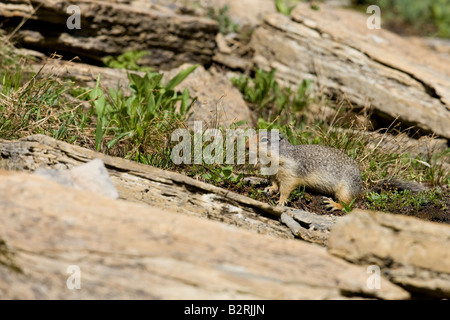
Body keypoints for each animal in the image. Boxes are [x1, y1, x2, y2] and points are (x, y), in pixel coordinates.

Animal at [248, 130, 378, 210]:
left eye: (264, 140)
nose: (247, 145)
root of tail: (360, 189)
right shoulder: (274, 173)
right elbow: (275, 182)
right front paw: (270, 188)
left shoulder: (290, 173)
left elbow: (286, 188)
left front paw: (281, 201)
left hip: (346, 189)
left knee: (346, 204)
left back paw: (333, 204)